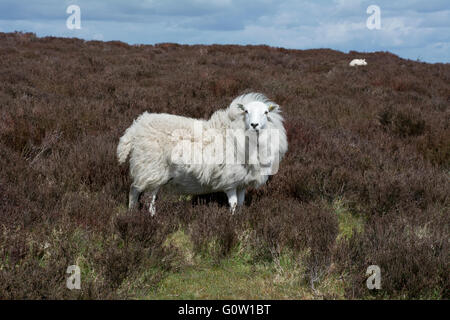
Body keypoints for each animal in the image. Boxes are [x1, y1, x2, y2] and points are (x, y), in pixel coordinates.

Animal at [116, 92, 288, 215]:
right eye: (246, 111)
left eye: (266, 112)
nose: (254, 125)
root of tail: (137, 126)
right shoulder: (230, 179)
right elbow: (233, 204)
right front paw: (231, 220)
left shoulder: (242, 181)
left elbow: (240, 203)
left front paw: (239, 218)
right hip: (151, 168)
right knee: (142, 194)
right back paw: (143, 216)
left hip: (152, 171)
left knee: (141, 192)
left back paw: (138, 214)